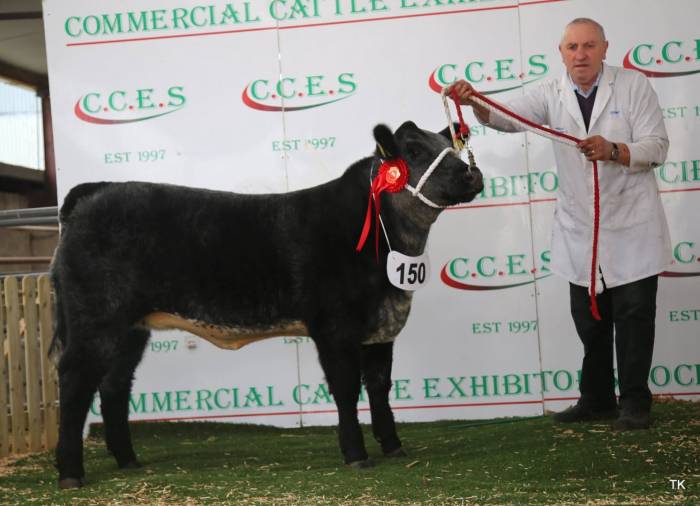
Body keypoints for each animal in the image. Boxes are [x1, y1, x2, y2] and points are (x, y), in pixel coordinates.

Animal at [49, 121, 484, 489]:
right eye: (413, 151)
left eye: (449, 145)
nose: (471, 174)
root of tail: (95, 192)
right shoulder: (335, 327)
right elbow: (346, 390)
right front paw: (356, 454)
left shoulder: (381, 328)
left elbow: (379, 387)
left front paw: (393, 446)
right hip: (95, 319)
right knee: (74, 382)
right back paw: (70, 472)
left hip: (130, 328)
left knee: (114, 384)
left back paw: (127, 459)